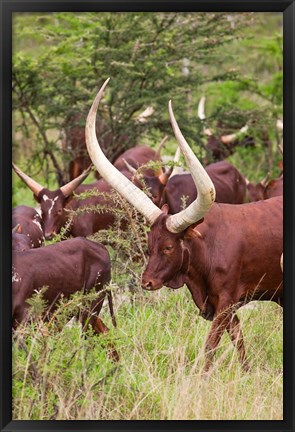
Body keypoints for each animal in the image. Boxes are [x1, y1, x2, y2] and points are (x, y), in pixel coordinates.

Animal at [84, 80, 284, 372]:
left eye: (169, 247)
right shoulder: (221, 304)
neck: (207, 247)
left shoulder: (226, 301)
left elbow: (210, 346)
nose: (147, 282)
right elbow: (238, 341)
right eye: (149, 245)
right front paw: (246, 372)